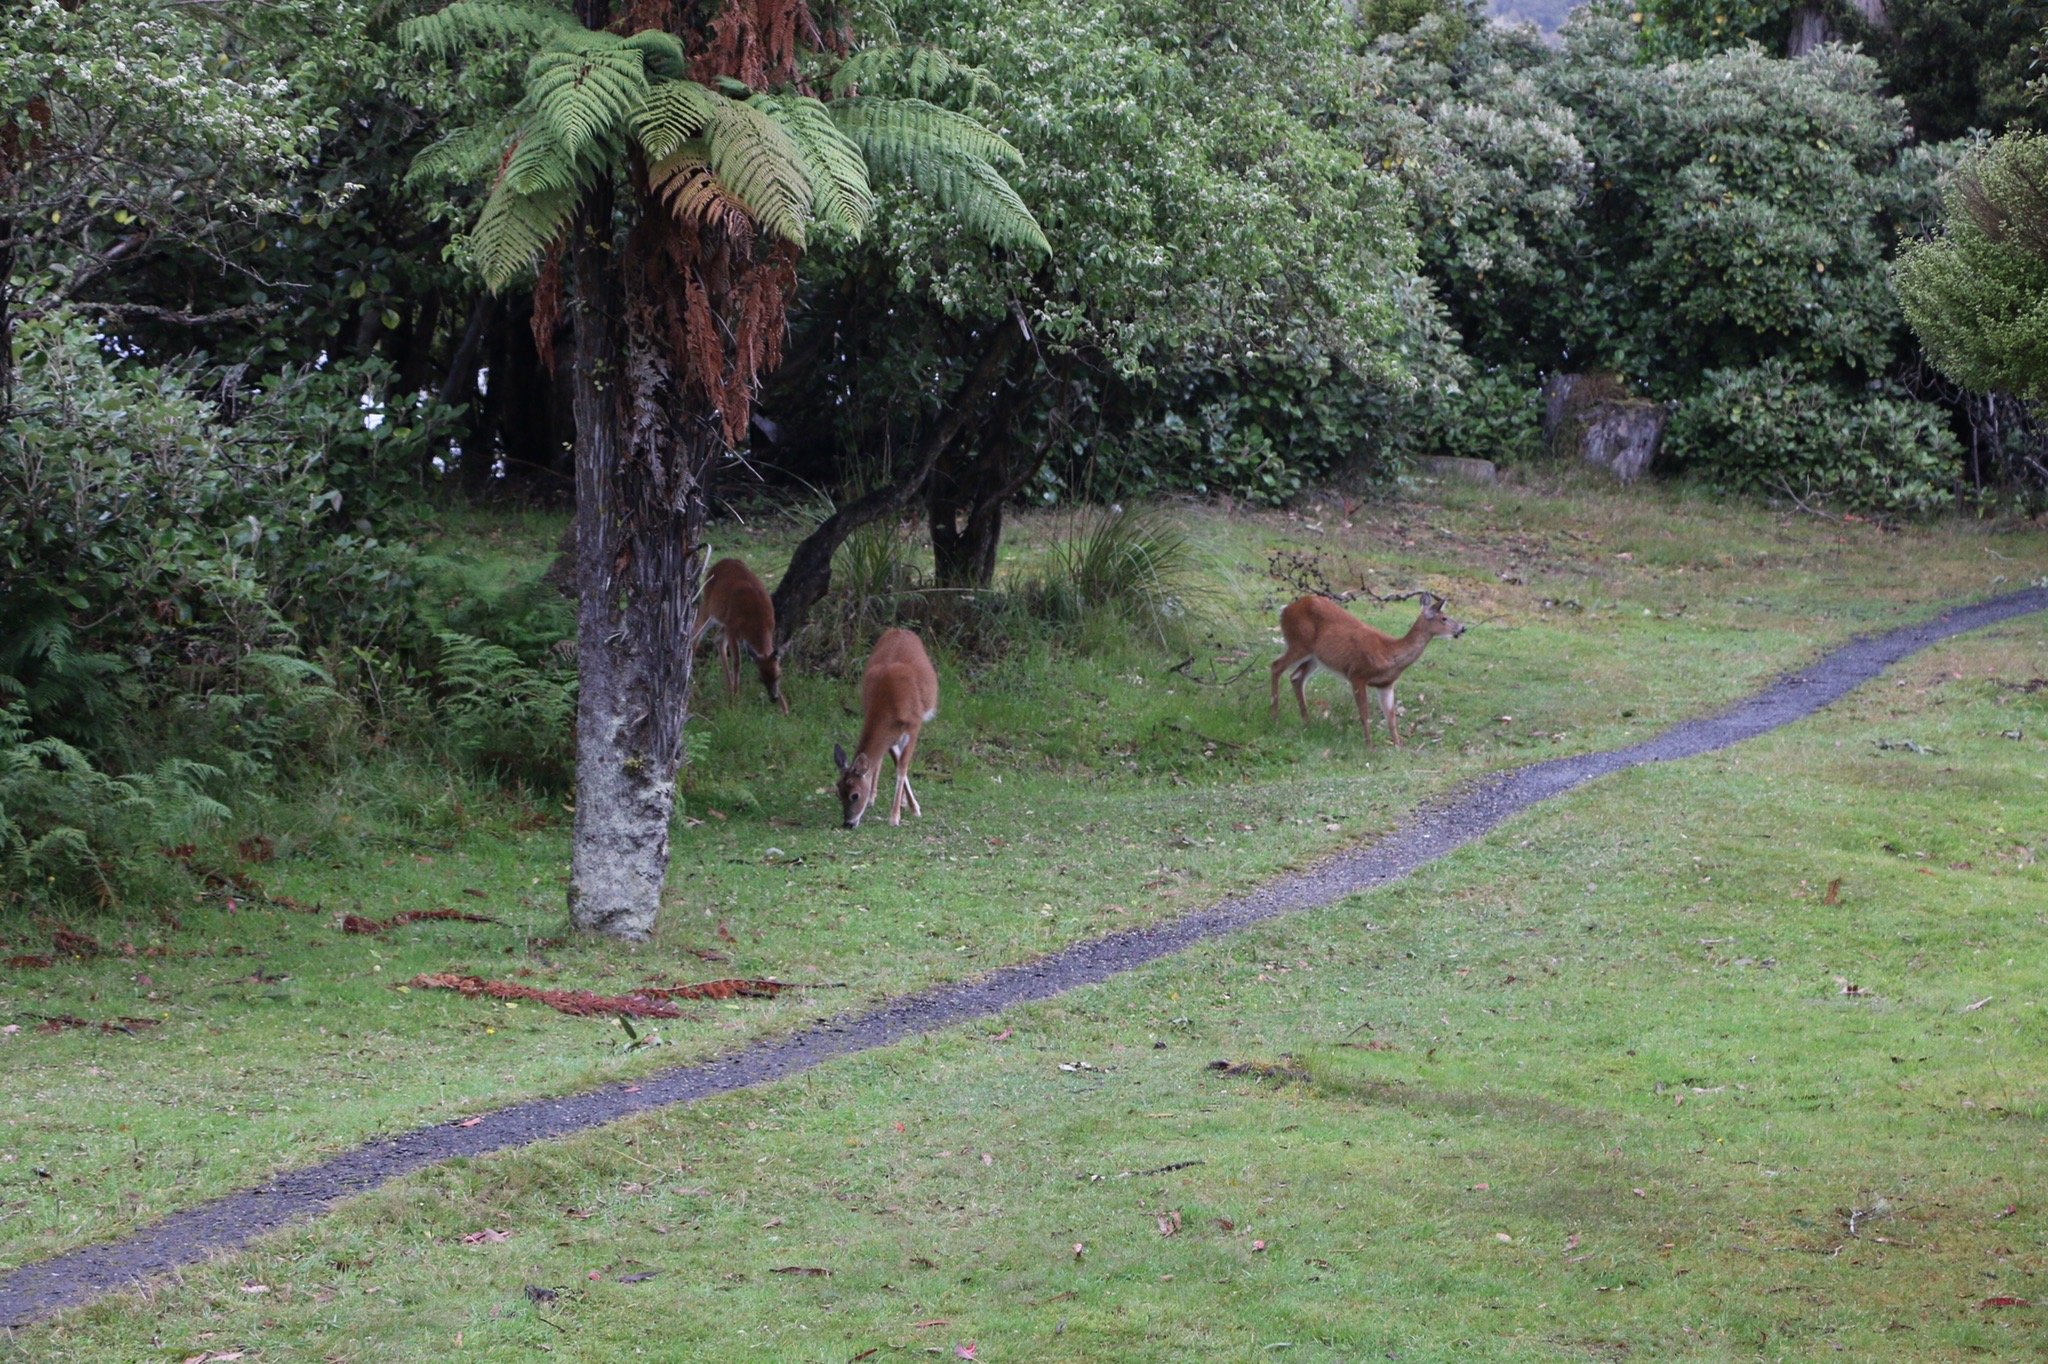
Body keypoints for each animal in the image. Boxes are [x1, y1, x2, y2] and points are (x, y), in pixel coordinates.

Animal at [688, 552, 782, 712]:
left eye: (778, 676)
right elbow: (737, 663)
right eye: (760, 678)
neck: (757, 621)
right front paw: (736, 699)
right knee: (696, 634)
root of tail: (721, 561)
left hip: (723, 620)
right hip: (709, 607)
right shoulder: (732, 628)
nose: (773, 698)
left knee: (716, 639)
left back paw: (728, 689)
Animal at [831, 626, 942, 827]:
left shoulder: (913, 725)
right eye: (838, 792)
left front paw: (898, 815)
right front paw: (907, 806)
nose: (848, 824)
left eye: (854, 795)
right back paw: (875, 798)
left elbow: (901, 767)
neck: (886, 702)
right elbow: (893, 761)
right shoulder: (889, 730)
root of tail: (900, 629)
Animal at [1269, 589, 1466, 749]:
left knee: (1296, 677)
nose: (1463, 628)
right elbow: (1364, 713)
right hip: (1299, 642)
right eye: (1444, 618)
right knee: (1276, 666)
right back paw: (1275, 715)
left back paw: (1306, 721)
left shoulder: (1386, 684)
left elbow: (1391, 717)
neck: (1390, 653)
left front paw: (1398, 745)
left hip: (1315, 657)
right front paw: (1369, 745)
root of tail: (1284, 610)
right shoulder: (1357, 673)